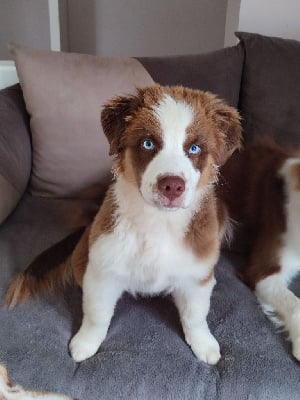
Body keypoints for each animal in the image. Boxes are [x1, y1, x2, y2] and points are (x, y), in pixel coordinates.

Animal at [4, 85, 241, 366]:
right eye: (148, 143)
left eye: (194, 148)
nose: (172, 186)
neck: (157, 223)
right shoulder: (101, 270)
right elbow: (97, 313)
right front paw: (85, 344)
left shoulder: (198, 274)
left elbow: (195, 315)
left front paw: (204, 345)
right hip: (82, 255)